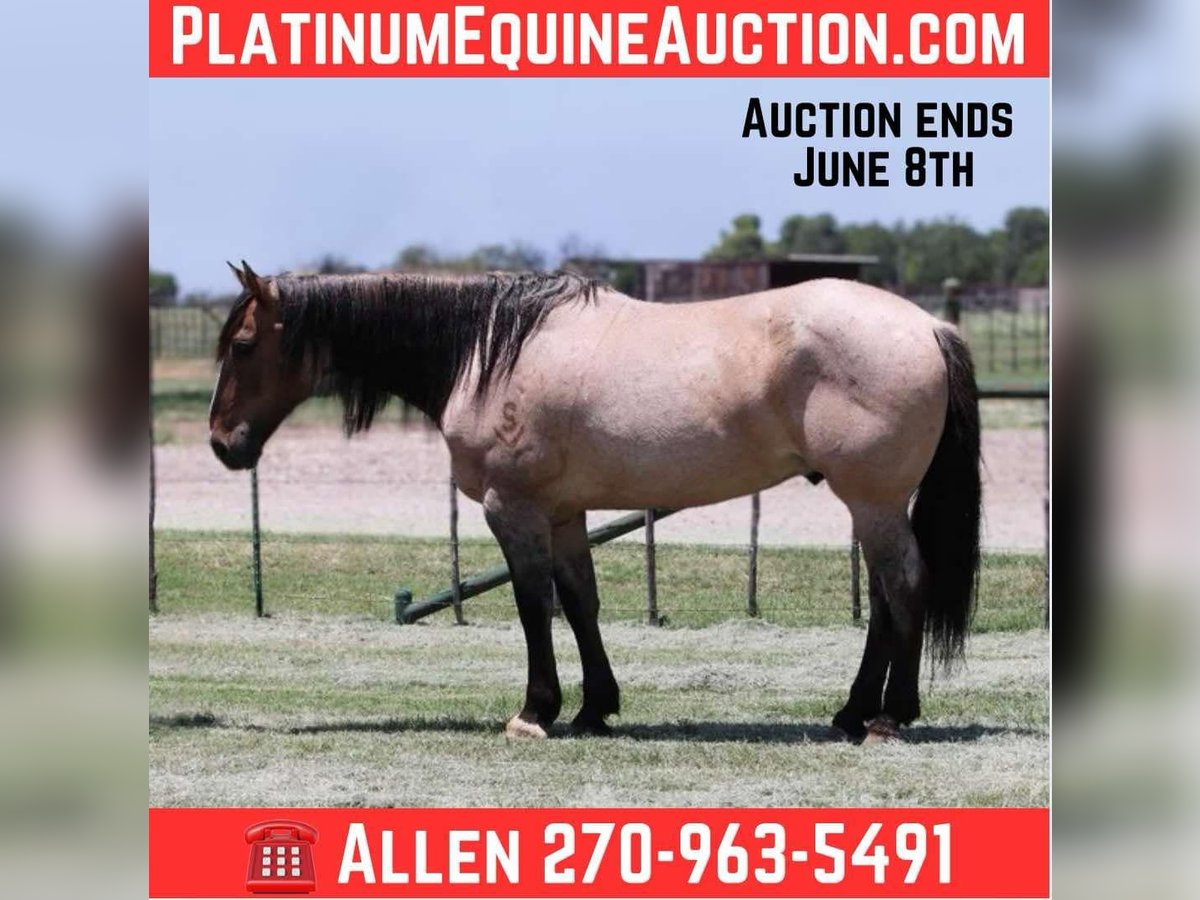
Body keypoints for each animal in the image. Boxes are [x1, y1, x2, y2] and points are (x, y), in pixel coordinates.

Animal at [209, 261, 980, 743]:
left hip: (874, 499)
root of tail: (929, 327)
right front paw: (594, 708)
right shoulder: (563, 512)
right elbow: (580, 600)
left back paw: (888, 717)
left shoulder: (512, 508)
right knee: (882, 596)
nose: (222, 443)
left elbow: (532, 603)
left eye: (243, 344)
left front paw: (535, 711)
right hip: (870, 504)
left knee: (904, 586)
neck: (488, 350)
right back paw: (851, 712)